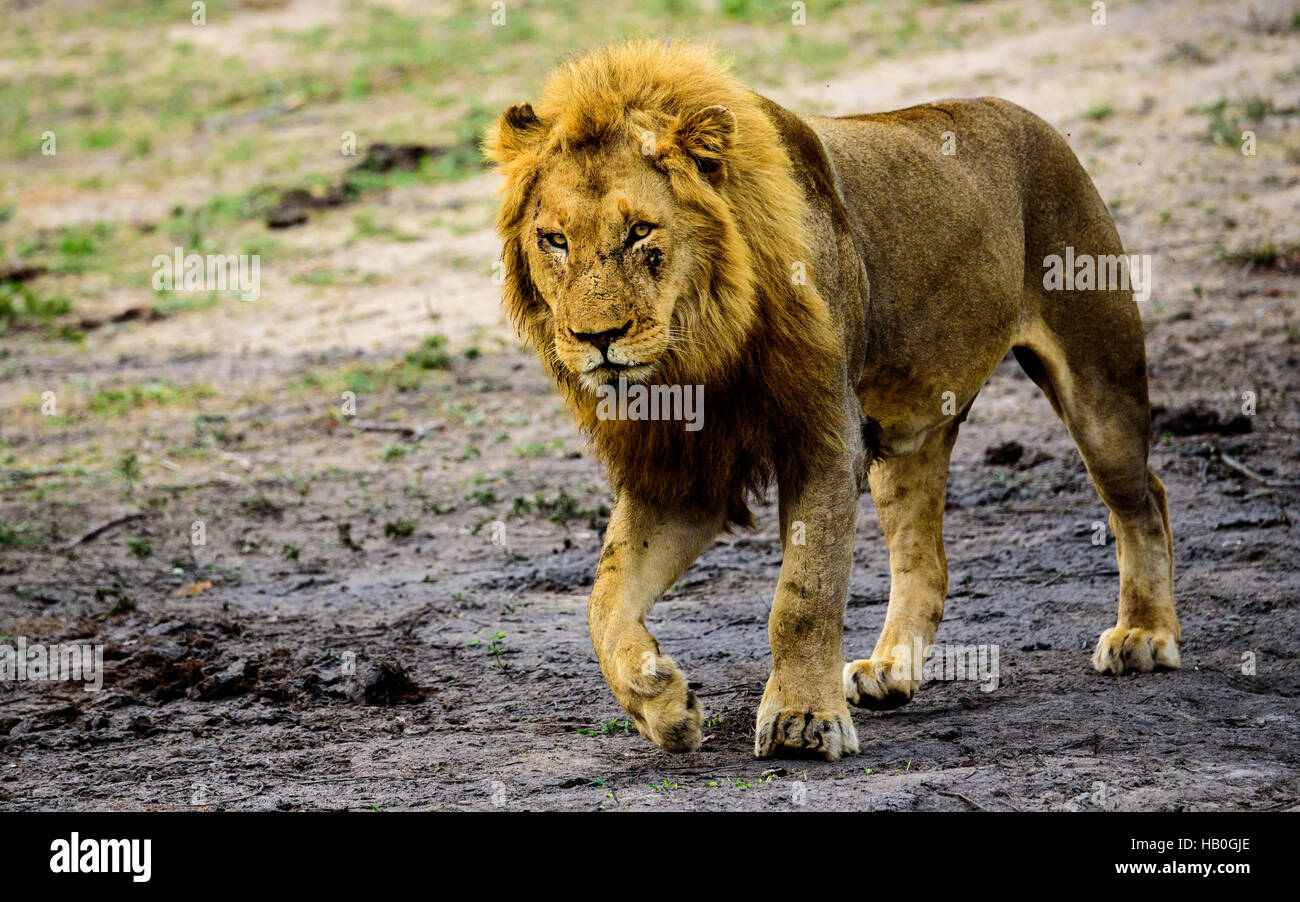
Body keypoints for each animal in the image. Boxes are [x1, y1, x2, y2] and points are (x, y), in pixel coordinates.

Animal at [486, 42, 1180, 764]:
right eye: (554, 240)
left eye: (640, 232)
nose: (596, 338)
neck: (701, 351)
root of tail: (1025, 114)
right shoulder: (685, 473)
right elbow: (604, 598)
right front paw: (661, 702)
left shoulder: (823, 438)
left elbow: (803, 594)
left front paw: (800, 719)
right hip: (907, 437)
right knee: (925, 560)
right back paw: (891, 672)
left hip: (1098, 380)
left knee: (1144, 498)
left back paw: (1144, 636)